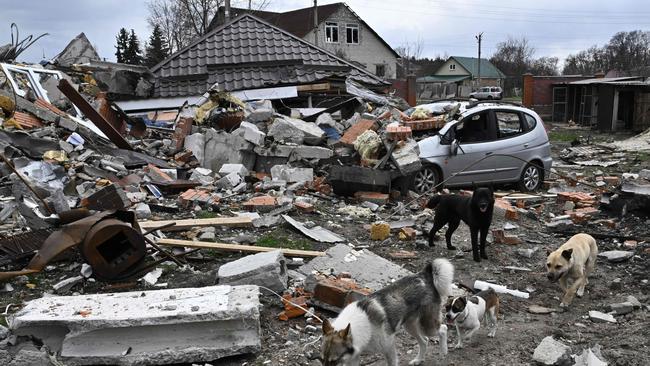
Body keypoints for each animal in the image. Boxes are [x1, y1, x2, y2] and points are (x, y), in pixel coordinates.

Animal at [318, 258, 450, 364]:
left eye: (334, 360)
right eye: (322, 359)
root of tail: (424, 275)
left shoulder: (389, 348)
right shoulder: (353, 356)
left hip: (428, 326)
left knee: (443, 329)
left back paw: (444, 351)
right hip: (410, 326)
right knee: (425, 341)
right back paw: (418, 360)